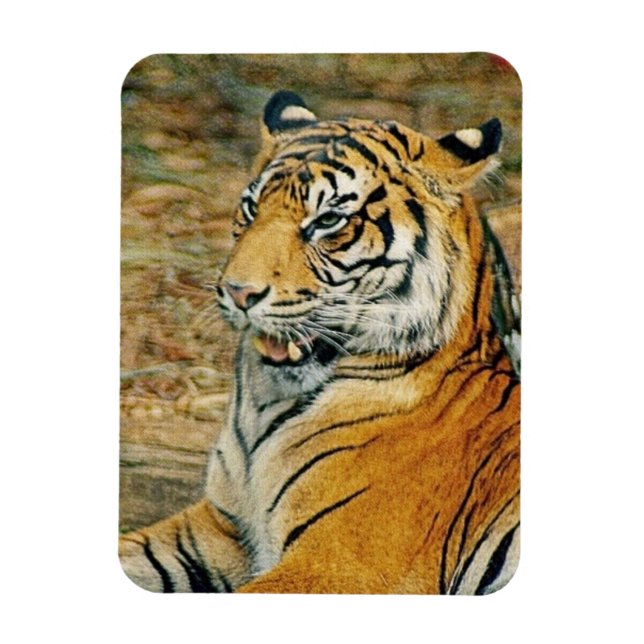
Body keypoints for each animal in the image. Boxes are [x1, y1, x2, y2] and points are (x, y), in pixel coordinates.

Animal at [119, 90, 521, 594]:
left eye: (328, 220)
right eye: (251, 210)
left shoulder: (340, 563)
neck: (263, 405)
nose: (237, 292)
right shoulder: (218, 529)